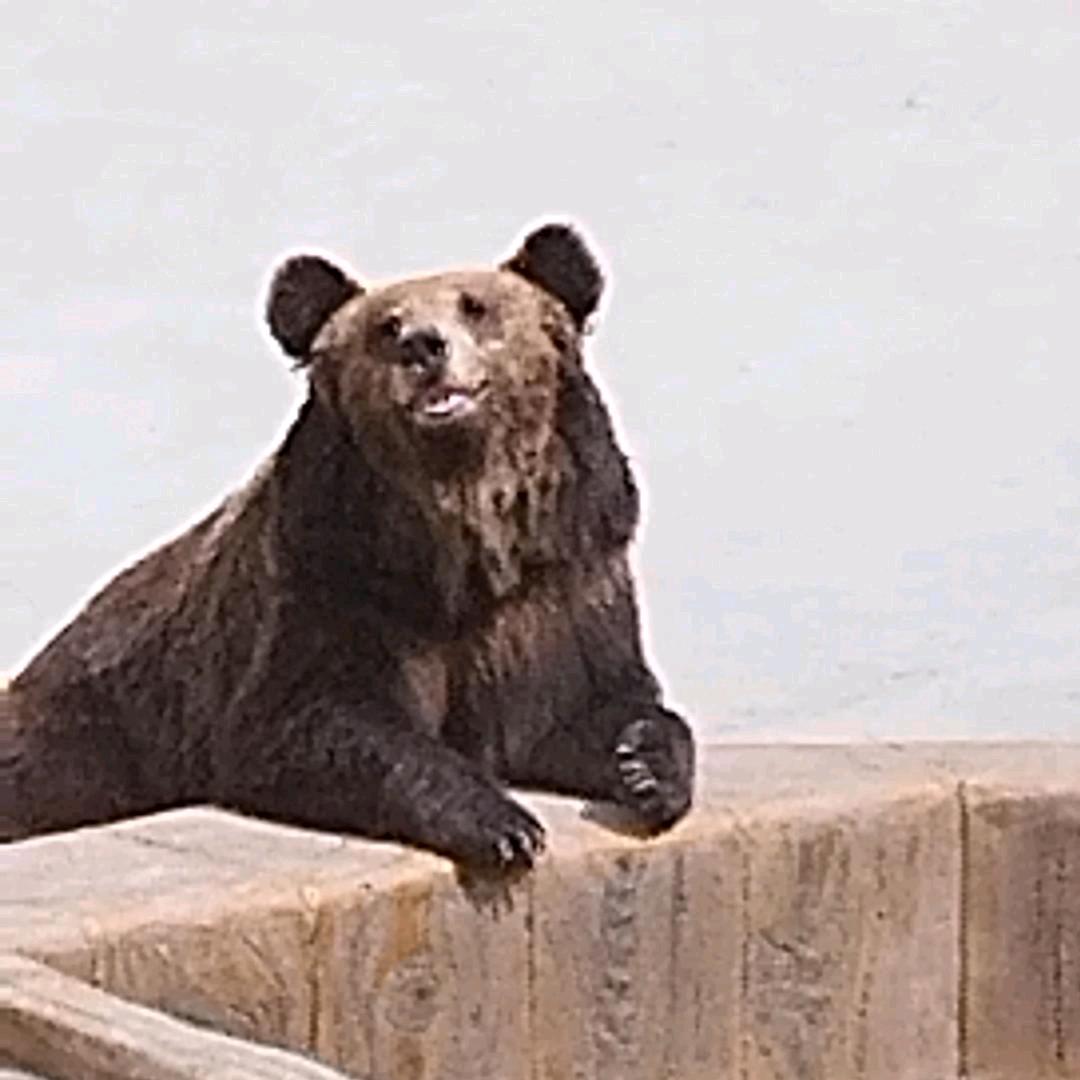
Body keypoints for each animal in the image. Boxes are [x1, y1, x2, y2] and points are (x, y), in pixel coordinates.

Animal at [2, 223, 695, 869]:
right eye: (387, 326)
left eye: (475, 305)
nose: (424, 345)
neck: (464, 541)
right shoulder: (337, 584)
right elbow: (314, 725)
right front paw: (504, 825)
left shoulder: (559, 591)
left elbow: (592, 708)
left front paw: (646, 767)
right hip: (86, 735)